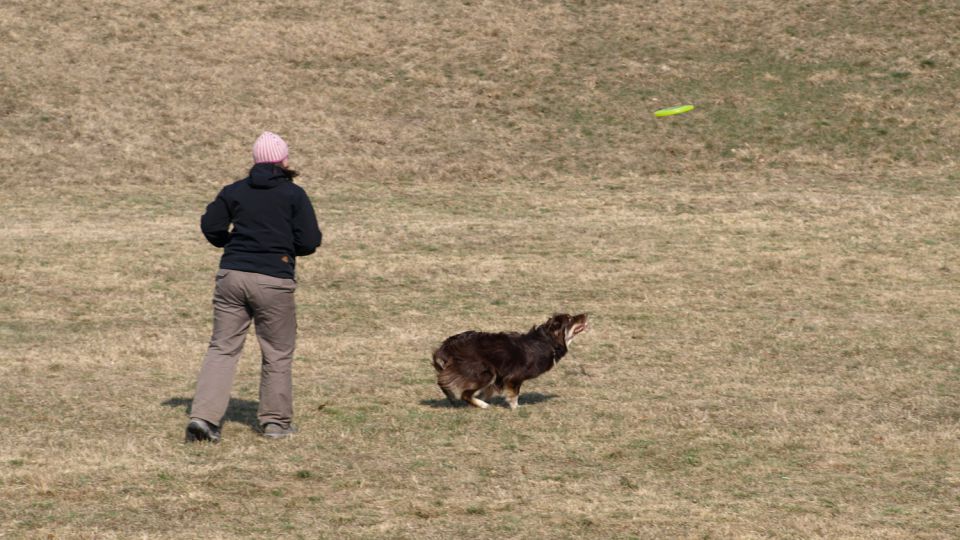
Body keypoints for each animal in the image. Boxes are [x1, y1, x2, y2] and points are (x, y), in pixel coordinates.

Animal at [432, 312, 588, 410]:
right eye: (570, 319)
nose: (586, 314)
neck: (548, 341)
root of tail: (448, 345)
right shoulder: (514, 376)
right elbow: (514, 394)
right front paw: (515, 408)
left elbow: (487, 392)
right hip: (485, 372)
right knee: (465, 394)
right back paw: (482, 405)